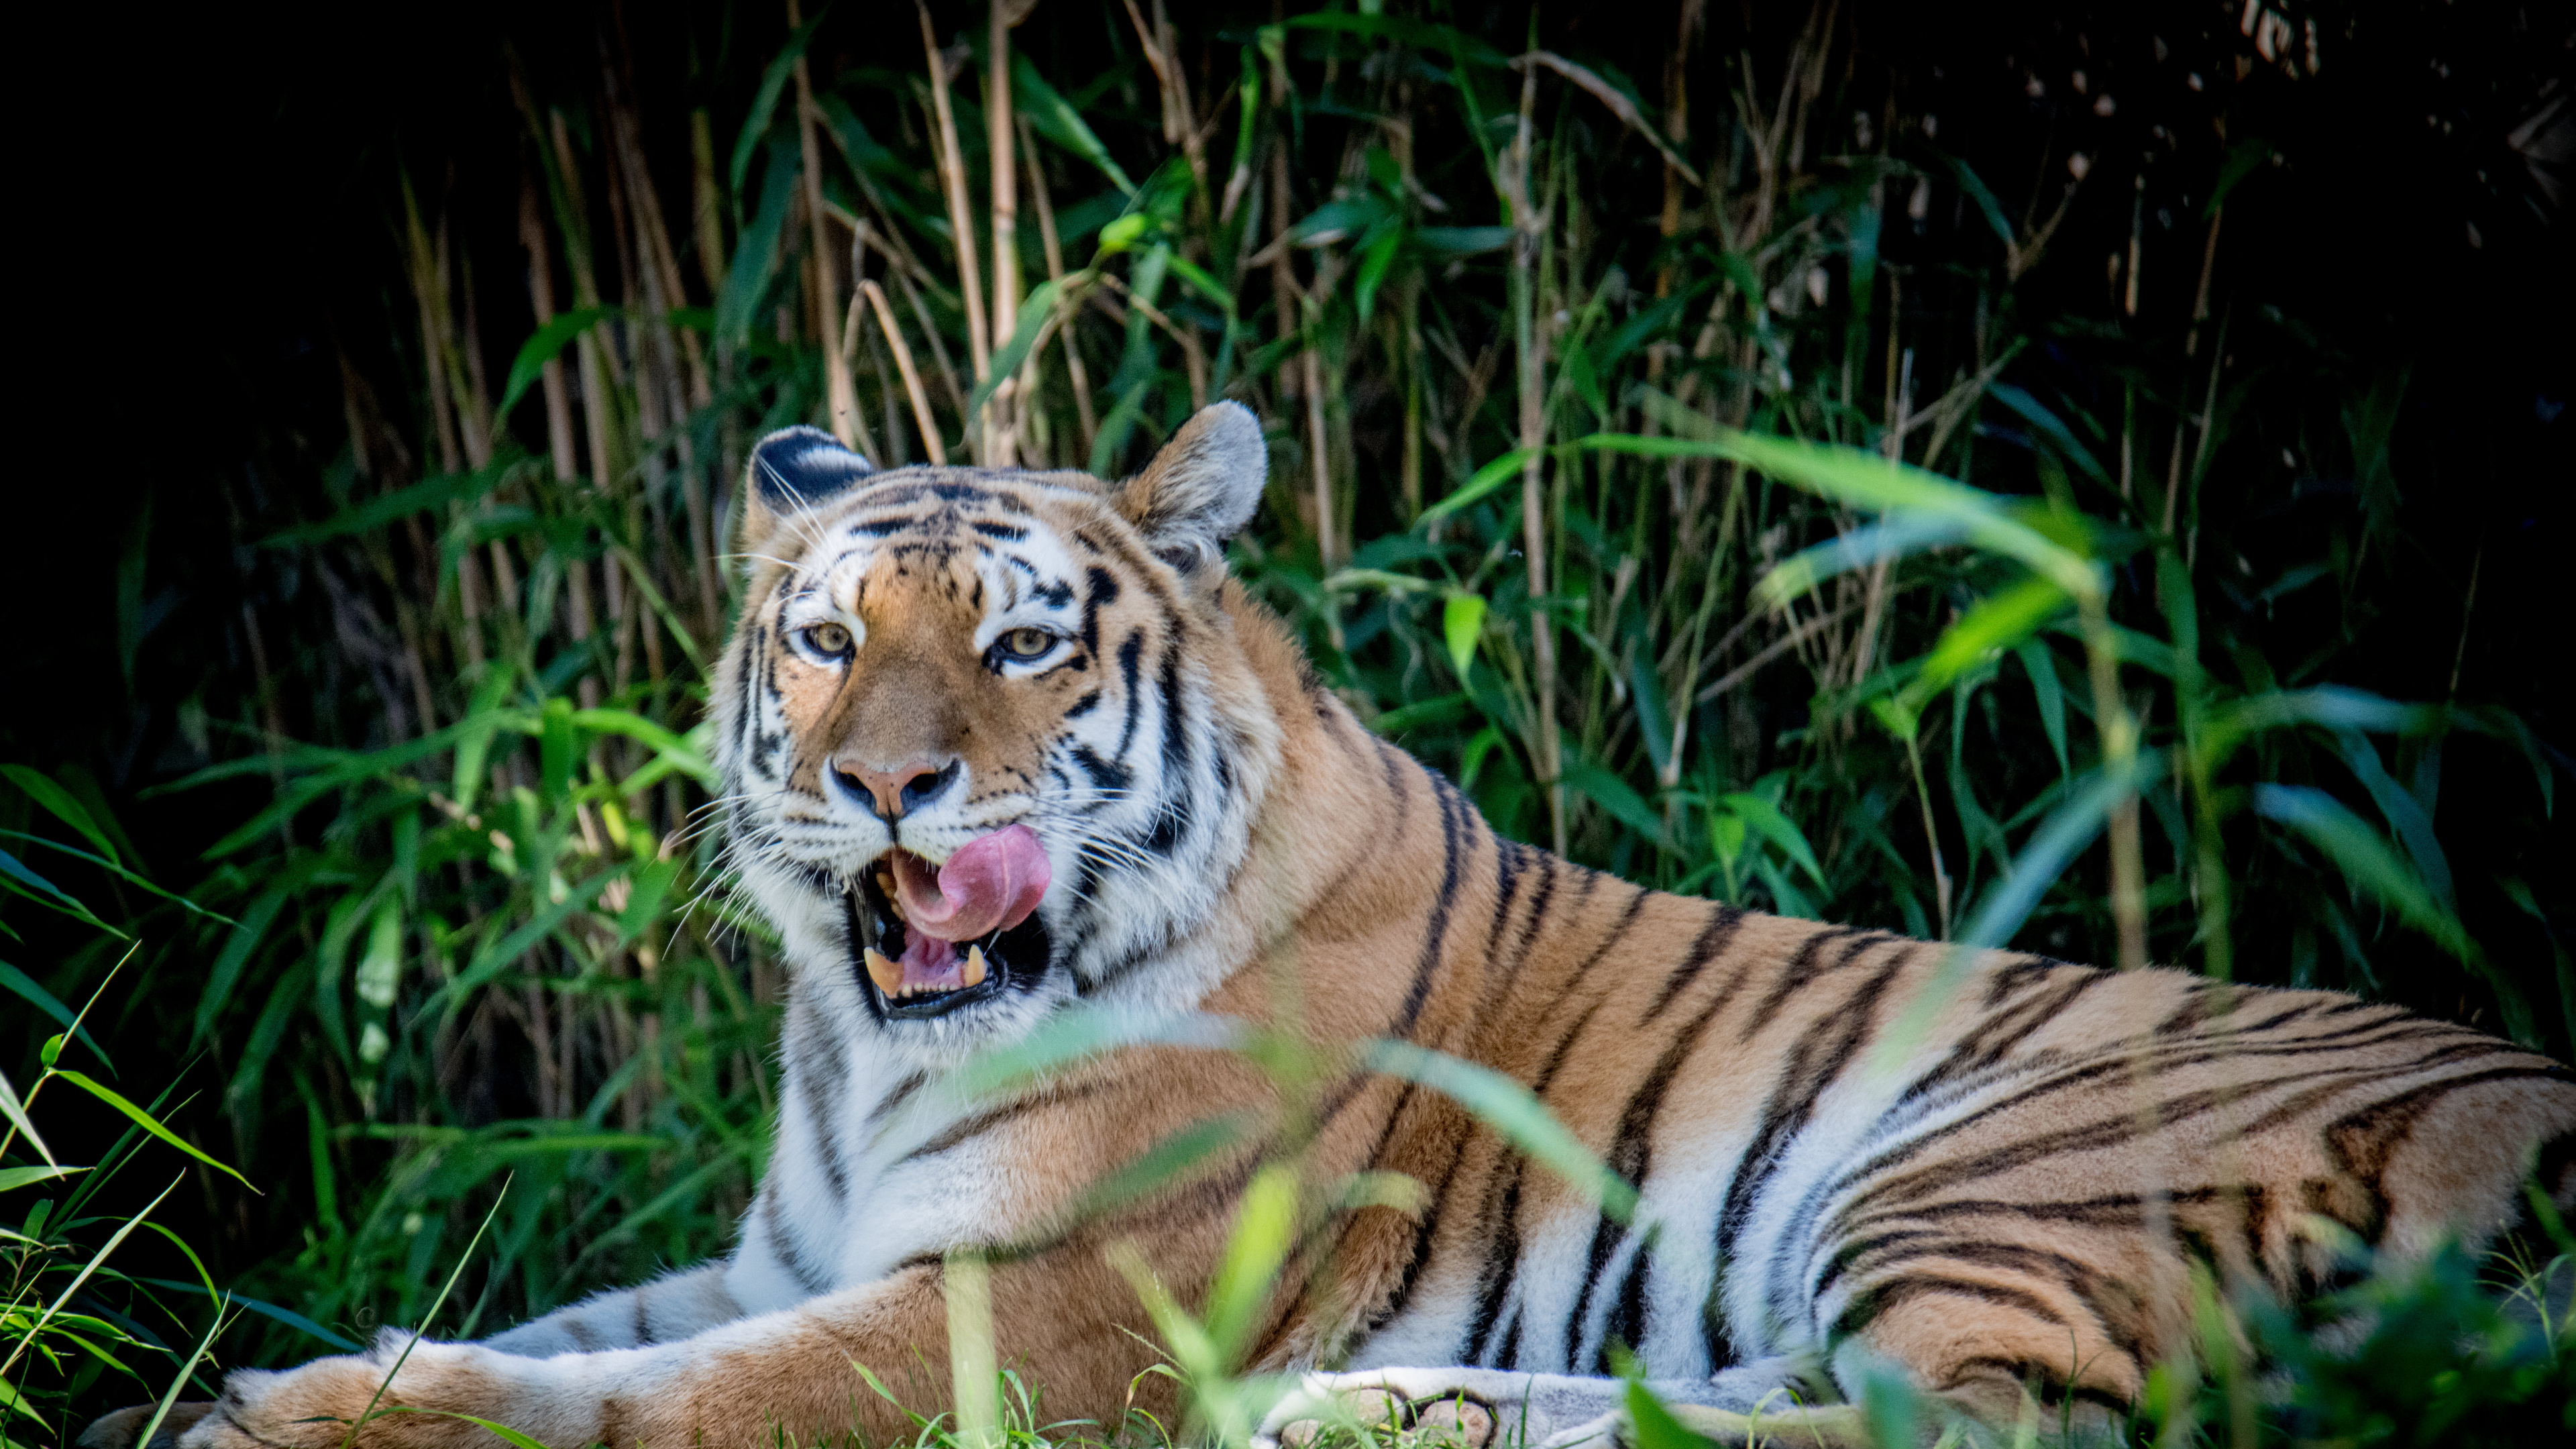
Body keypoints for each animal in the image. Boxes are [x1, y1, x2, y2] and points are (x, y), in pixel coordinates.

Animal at [85, 396, 2576, 1444]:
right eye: (825, 643)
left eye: (1020, 648)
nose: (889, 787)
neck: (868, 1046)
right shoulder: (797, 1245)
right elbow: (581, 1330)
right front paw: (259, 1380)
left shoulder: (1037, 1302)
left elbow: (679, 1399)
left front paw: (288, 1428)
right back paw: (1378, 1413)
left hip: (1996, 1168)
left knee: (1960, 1432)